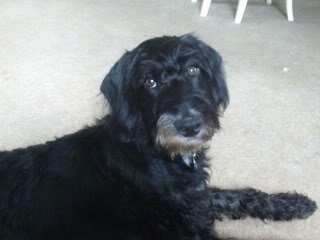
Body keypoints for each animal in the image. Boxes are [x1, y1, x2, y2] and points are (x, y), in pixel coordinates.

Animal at [0, 34, 316, 240]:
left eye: (193, 69)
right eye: (149, 81)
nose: (189, 125)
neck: (152, 151)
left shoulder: (194, 200)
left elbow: (236, 195)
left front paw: (294, 203)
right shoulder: (188, 228)